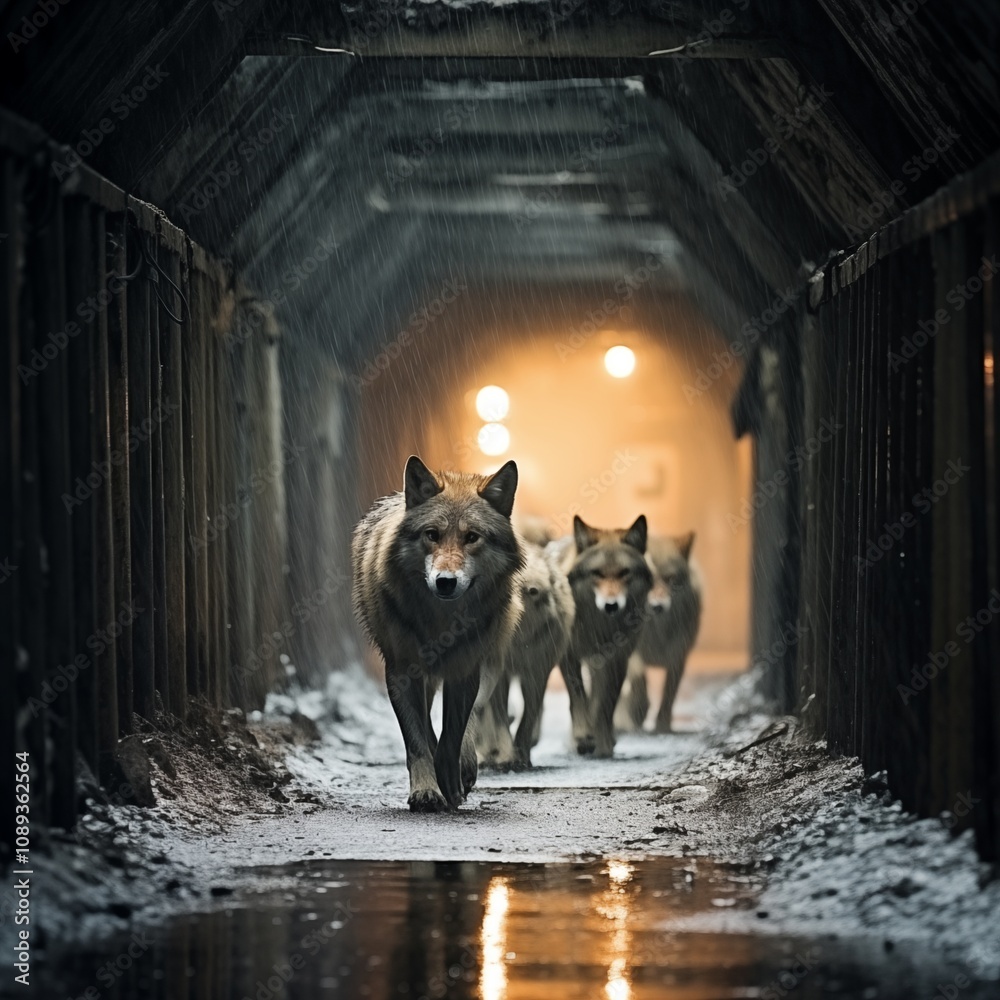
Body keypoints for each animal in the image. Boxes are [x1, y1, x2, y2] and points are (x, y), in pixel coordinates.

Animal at [351, 456, 524, 811]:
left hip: (486, 666)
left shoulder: (464, 670)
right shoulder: (401, 672)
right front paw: (426, 791)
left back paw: (466, 769)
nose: (445, 582)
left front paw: (451, 782)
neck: (441, 623)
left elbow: (453, 735)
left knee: (474, 716)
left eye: (472, 537)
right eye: (432, 534)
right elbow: (417, 740)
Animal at [475, 541, 574, 769]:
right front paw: (506, 756)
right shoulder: (499, 676)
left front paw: (522, 757)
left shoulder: (536, 673)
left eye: (532, 592)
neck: (517, 645)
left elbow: (528, 718)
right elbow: (500, 719)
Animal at [555, 514, 652, 757]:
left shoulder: (617, 659)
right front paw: (583, 737)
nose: (611, 605)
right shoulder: (568, 655)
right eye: (597, 573)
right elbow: (578, 697)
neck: (598, 625)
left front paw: (603, 743)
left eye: (624, 572)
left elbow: (605, 704)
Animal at [614, 532, 702, 733]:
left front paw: (663, 726)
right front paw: (638, 713)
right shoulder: (633, 655)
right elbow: (639, 685)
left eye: (671, 579)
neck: (657, 634)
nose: (657, 607)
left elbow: (668, 697)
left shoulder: (678, 657)